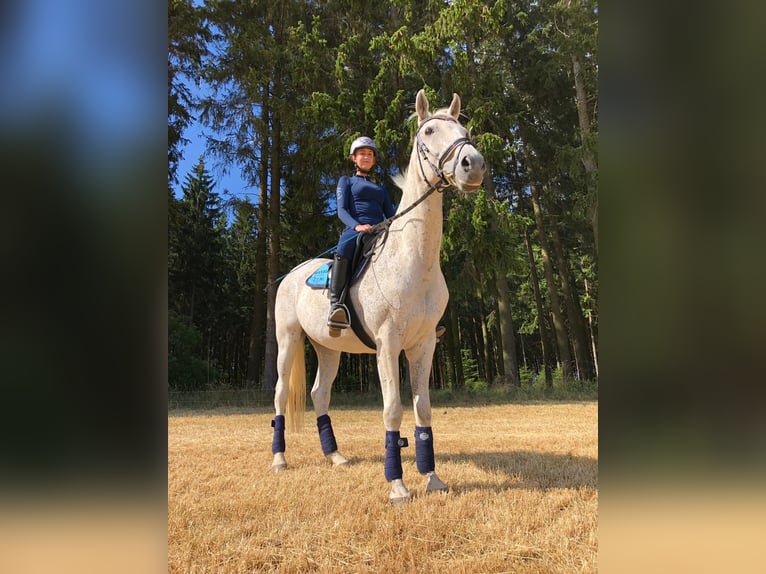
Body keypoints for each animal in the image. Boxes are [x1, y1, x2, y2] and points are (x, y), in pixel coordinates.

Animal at [270, 89, 486, 504]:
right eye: (429, 130)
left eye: (464, 131)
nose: (474, 164)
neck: (413, 260)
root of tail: (292, 274)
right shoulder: (388, 345)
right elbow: (393, 411)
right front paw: (398, 486)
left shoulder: (423, 346)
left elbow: (423, 410)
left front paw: (432, 478)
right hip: (287, 340)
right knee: (279, 395)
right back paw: (279, 460)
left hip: (328, 349)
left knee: (320, 394)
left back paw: (336, 457)